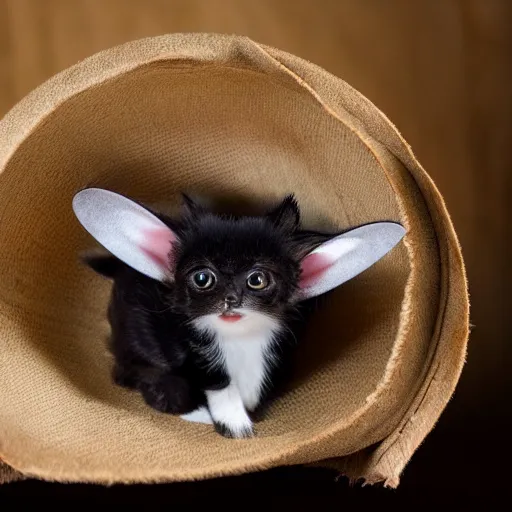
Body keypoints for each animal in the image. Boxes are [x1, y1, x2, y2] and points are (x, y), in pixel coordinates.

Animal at [73, 190, 408, 438]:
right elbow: (207, 383)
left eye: (257, 279)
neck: (240, 344)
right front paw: (234, 425)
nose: (230, 298)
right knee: (128, 376)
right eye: (202, 278)